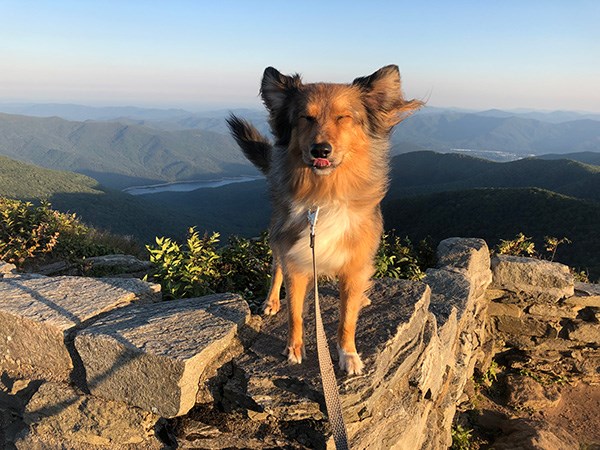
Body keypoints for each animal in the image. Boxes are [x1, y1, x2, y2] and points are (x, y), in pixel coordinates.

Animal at [226, 65, 422, 374]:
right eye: (306, 117)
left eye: (343, 117)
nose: (321, 150)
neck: (324, 196)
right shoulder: (297, 259)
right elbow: (295, 312)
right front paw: (295, 348)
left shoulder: (354, 265)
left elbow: (347, 319)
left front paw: (348, 353)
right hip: (278, 235)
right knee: (276, 266)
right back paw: (271, 301)